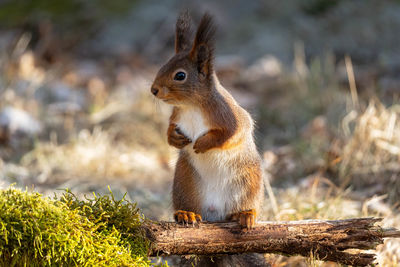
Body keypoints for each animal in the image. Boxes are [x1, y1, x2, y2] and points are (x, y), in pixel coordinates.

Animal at [152, 11, 264, 231]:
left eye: (180, 75)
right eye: (162, 65)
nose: (154, 89)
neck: (192, 105)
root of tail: (215, 212)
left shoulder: (230, 115)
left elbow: (233, 134)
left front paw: (203, 143)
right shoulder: (176, 115)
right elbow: (169, 131)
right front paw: (174, 138)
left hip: (248, 182)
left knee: (244, 207)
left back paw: (246, 214)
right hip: (185, 181)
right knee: (189, 206)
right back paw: (186, 214)